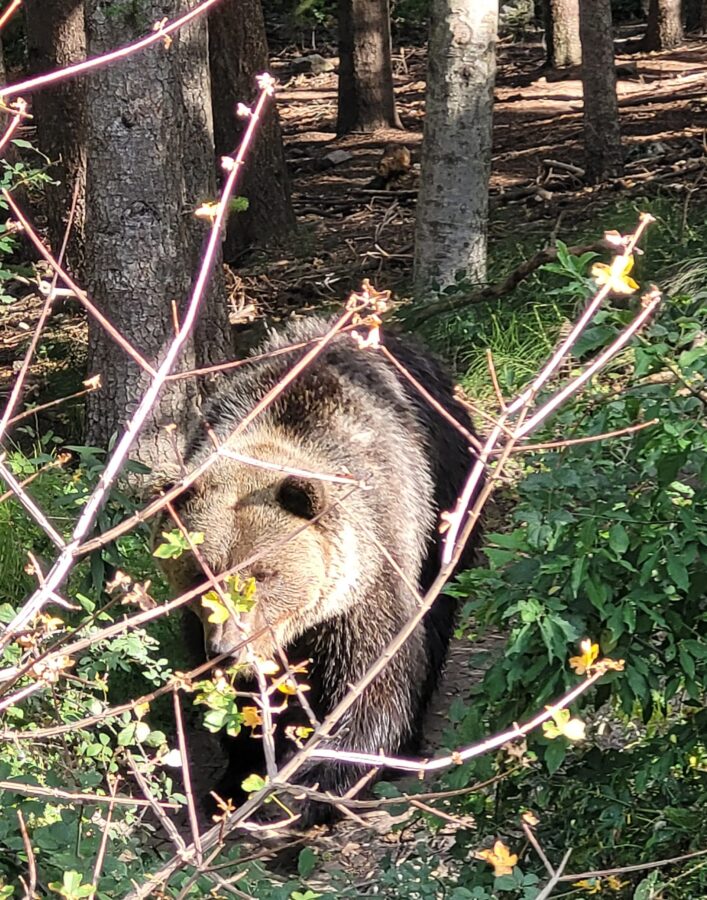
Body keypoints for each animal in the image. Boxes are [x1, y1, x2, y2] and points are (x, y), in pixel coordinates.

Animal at [158, 316, 481, 827]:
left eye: (263, 575)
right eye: (200, 575)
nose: (228, 649)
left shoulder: (368, 578)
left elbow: (374, 682)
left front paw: (323, 783)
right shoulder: (198, 623)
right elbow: (236, 704)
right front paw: (236, 778)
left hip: (447, 497)